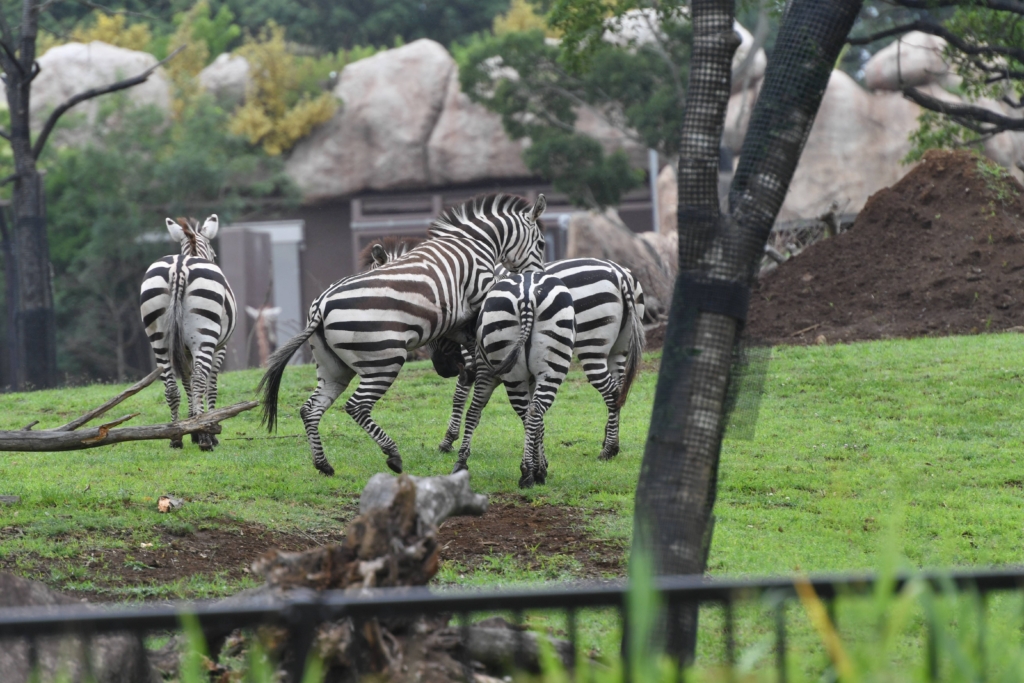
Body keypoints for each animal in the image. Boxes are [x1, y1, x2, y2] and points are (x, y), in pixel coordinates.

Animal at [139, 214, 236, 448]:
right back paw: (205, 437)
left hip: (158, 338)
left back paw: (175, 435)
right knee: (201, 380)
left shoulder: (182, 349)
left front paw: (190, 427)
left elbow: (186, 381)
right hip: (205, 337)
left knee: (171, 387)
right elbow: (210, 385)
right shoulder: (220, 347)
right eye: (215, 254)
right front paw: (206, 429)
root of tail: (179, 266)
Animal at [260, 194, 548, 479]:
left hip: (334, 368)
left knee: (311, 409)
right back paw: (393, 455)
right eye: (542, 243)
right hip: (384, 361)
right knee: (356, 406)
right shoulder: (480, 290)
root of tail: (321, 306)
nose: (536, 277)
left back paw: (324, 465)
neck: (475, 241)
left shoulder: (457, 320)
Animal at [454, 270, 577, 489]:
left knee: (530, 413)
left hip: (518, 372)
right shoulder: (520, 377)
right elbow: (539, 424)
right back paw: (531, 472)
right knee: (533, 411)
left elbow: (474, 413)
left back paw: (528, 472)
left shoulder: (486, 371)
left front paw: (461, 462)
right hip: (545, 369)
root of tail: (527, 296)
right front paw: (541, 466)